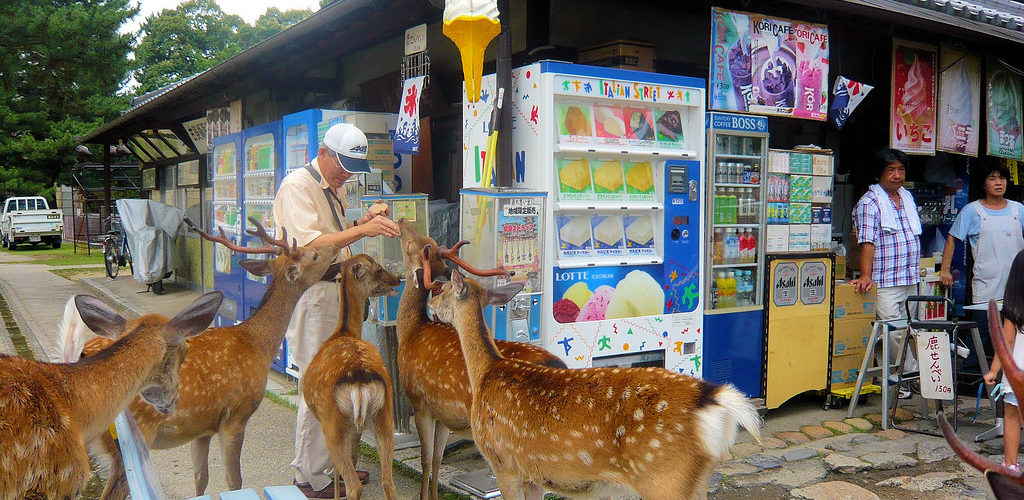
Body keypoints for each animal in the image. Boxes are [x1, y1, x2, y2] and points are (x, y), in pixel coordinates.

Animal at [81, 216, 346, 499]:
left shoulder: (201, 428)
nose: (336, 244)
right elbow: (234, 480)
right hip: (134, 438)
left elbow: (201, 480)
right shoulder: (235, 414)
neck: (258, 343)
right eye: (314, 254)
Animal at [303, 254, 402, 500]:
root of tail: (360, 382)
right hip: (383, 417)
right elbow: (355, 458)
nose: (397, 278)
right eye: (378, 269)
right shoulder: (357, 431)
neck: (343, 331)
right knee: (389, 482)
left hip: (332, 424)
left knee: (353, 484)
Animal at [395, 220, 567, 500]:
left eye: (415, 242)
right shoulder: (443, 413)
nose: (400, 221)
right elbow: (437, 459)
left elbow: (425, 459)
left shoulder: (419, 401)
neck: (411, 330)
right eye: (428, 241)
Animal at [429, 269, 762, 500]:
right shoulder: (533, 473)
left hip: (665, 478)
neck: (486, 372)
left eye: (444, 289)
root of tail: (714, 400)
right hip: (694, 480)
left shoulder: (503, 462)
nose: (430, 300)